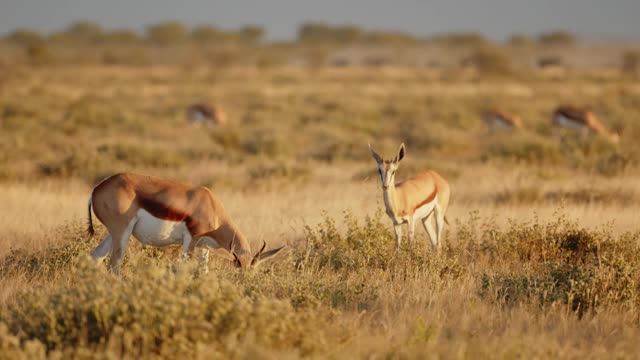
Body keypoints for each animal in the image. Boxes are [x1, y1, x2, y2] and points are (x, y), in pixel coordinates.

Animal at [86, 173, 286, 274]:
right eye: (239, 271)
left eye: (253, 272)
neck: (211, 204)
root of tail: (97, 188)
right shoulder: (191, 239)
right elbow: (183, 268)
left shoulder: (204, 247)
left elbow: (203, 271)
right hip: (122, 232)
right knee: (114, 264)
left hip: (113, 234)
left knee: (94, 257)